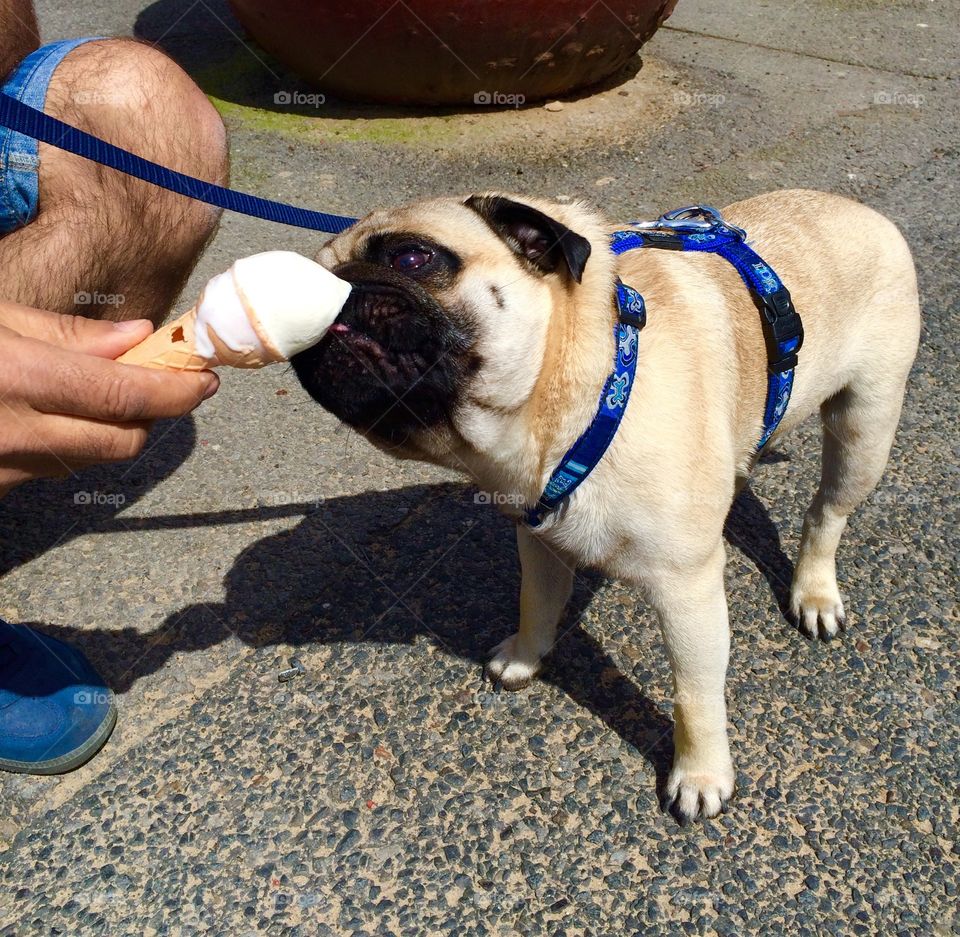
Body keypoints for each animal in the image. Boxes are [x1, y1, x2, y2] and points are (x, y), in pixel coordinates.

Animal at [294, 190, 924, 820]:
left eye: (412, 258)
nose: (330, 292)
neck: (570, 397)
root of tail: (856, 209)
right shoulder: (540, 541)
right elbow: (536, 604)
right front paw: (526, 656)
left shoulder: (687, 587)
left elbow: (695, 695)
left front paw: (701, 774)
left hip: (864, 429)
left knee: (826, 512)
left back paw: (814, 592)